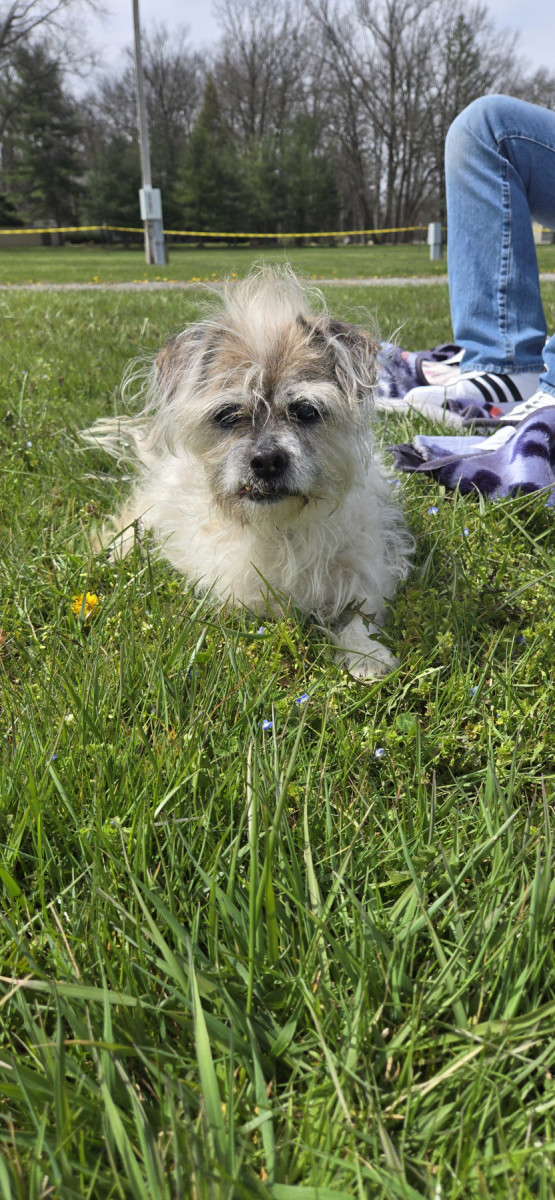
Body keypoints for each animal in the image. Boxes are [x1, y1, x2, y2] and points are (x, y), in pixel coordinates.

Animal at [83, 266, 413, 678]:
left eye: (305, 411)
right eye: (228, 414)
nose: (267, 460)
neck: (277, 528)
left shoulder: (364, 565)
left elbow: (358, 611)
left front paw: (365, 653)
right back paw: (114, 550)